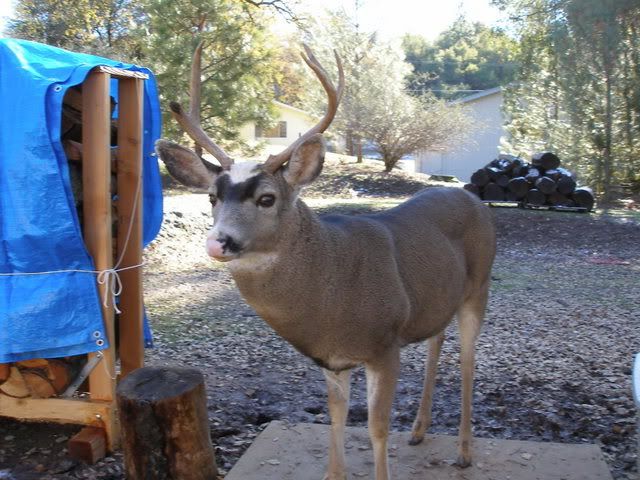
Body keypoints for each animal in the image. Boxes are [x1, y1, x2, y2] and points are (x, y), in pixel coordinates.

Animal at [155, 43, 496, 478]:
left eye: (267, 198)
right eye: (212, 197)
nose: (219, 242)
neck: (333, 296)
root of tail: (472, 197)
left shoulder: (385, 344)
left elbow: (376, 429)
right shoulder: (332, 359)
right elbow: (335, 419)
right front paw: (335, 470)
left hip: (480, 285)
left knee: (469, 360)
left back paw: (464, 451)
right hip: (438, 297)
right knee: (437, 339)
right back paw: (419, 431)